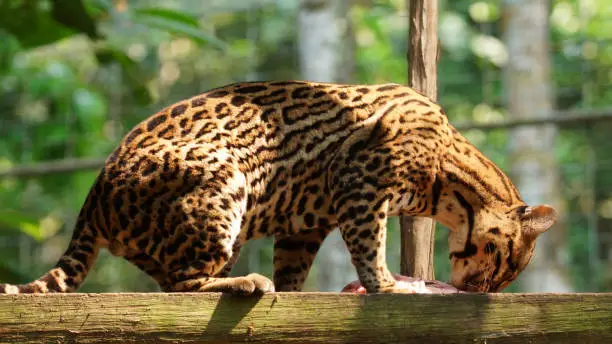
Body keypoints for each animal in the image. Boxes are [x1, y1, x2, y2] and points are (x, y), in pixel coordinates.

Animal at [0, 80, 556, 292]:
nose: (477, 291)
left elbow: (293, 270)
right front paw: (387, 285)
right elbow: (370, 249)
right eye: (504, 264)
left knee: (170, 281)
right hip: (222, 181)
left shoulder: (304, 226)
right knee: (185, 283)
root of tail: (93, 197)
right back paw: (244, 282)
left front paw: (296, 294)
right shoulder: (360, 186)